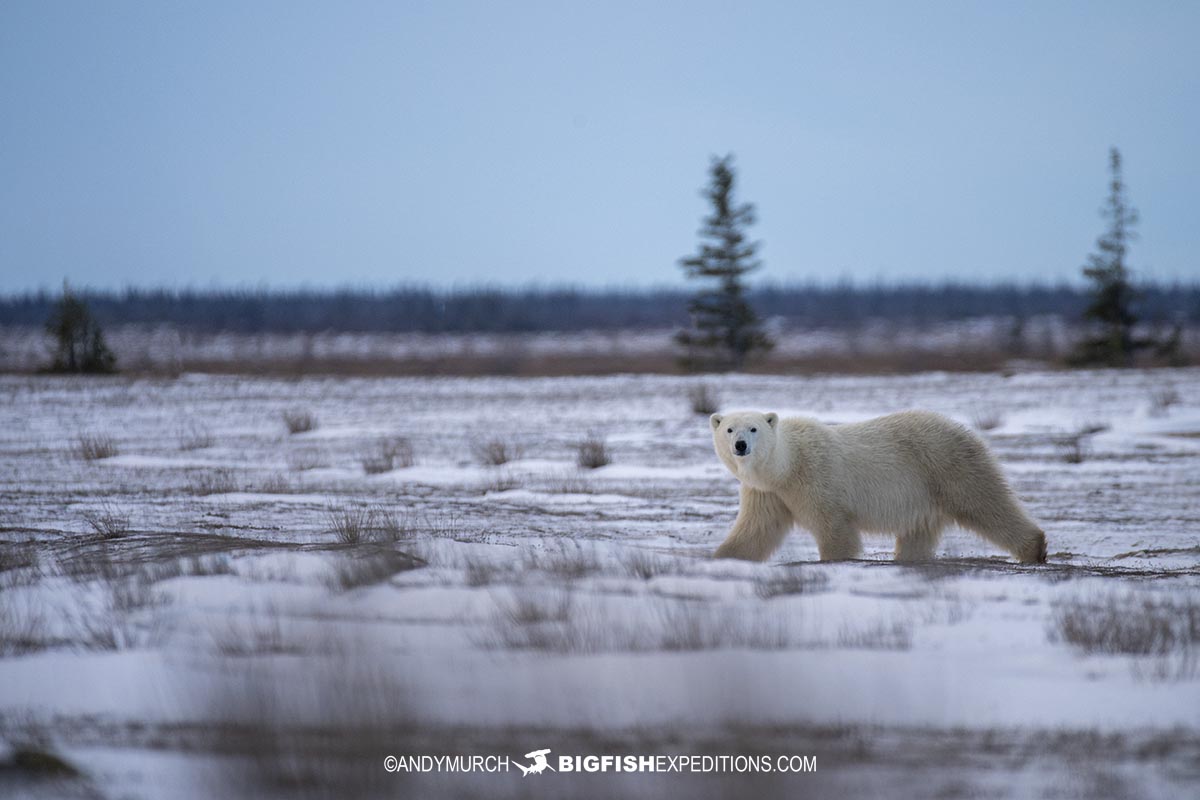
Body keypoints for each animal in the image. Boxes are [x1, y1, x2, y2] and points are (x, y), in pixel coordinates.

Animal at [709, 409, 1047, 564]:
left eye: (753, 428)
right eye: (729, 429)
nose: (740, 445)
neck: (786, 466)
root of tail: (965, 429)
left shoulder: (817, 480)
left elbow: (834, 529)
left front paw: (836, 559)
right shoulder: (767, 492)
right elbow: (756, 530)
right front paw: (722, 558)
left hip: (947, 465)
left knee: (985, 502)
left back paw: (1033, 548)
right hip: (925, 494)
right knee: (917, 533)